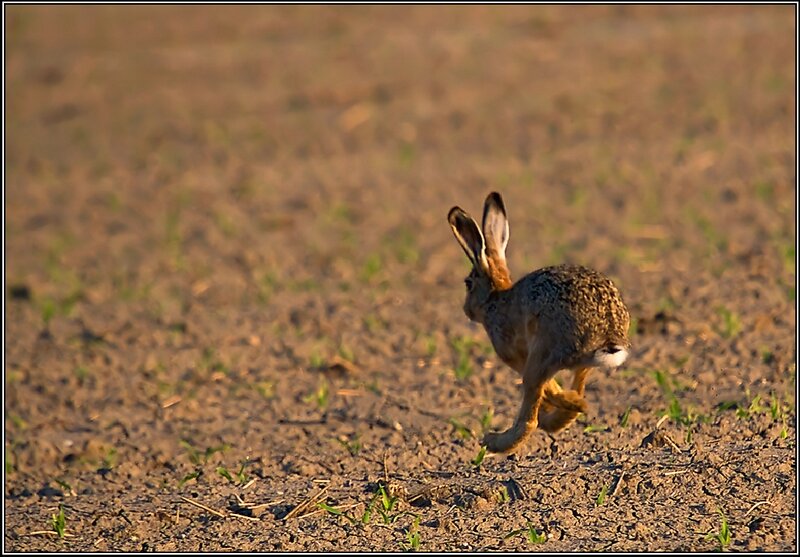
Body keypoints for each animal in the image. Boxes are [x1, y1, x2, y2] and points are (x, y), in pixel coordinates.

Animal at [447, 192, 631, 454]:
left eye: (468, 283)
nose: (466, 310)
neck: (496, 298)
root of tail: (607, 335)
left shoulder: (515, 355)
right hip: (569, 360)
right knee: (576, 385)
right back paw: (573, 407)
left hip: (543, 350)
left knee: (530, 417)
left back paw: (494, 440)